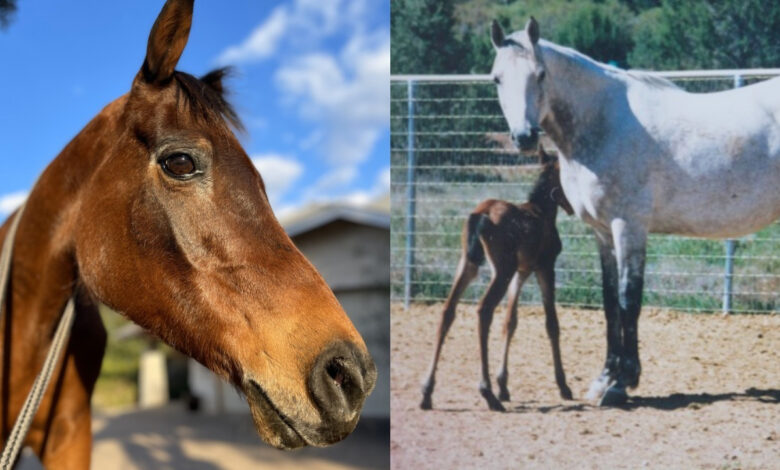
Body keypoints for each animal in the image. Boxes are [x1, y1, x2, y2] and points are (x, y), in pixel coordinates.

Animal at [424, 150, 576, 412]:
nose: (572, 206)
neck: (542, 210)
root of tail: (480, 215)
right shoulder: (544, 268)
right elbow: (552, 324)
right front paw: (563, 386)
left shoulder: (521, 272)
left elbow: (510, 322)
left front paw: (504, 385)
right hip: (501, 270)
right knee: (484, 310)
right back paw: (487, 392)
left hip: (468, 264)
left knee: (448, 311)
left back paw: (427, 392)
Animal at [490, 18, 776, 406]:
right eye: (496, 78)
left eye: (541, 74)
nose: (524, 137)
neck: (604, 123)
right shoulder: (602, 232)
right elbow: (610, 301)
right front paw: (604, 378)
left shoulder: (629, 227)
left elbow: (629, 299)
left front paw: (621, 383)